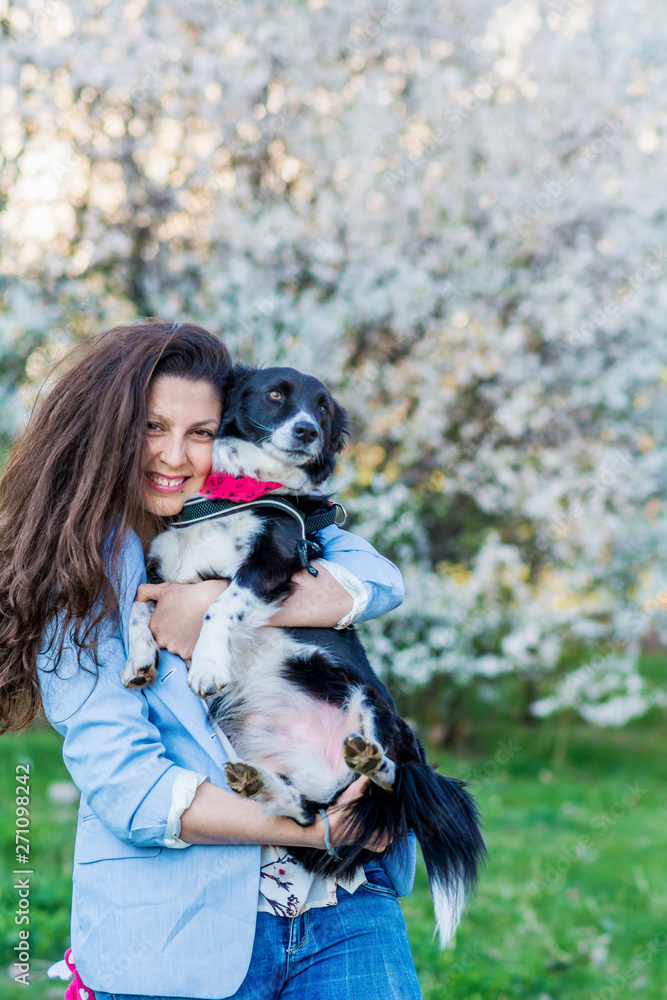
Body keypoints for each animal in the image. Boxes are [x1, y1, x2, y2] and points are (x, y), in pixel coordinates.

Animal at [122, 366, 486, 944]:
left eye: (323, 409)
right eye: (276, 394)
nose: (307, 431)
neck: (238, 493)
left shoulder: (272, 561)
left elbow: (220, 604)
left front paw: (207, 663)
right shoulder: (162, 572)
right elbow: (138, 604)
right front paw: (138, 659)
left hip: (374, 707)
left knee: (386, 782)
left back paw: (371, 759)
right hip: (284, 766)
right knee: (307, 814)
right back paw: (262, 786)